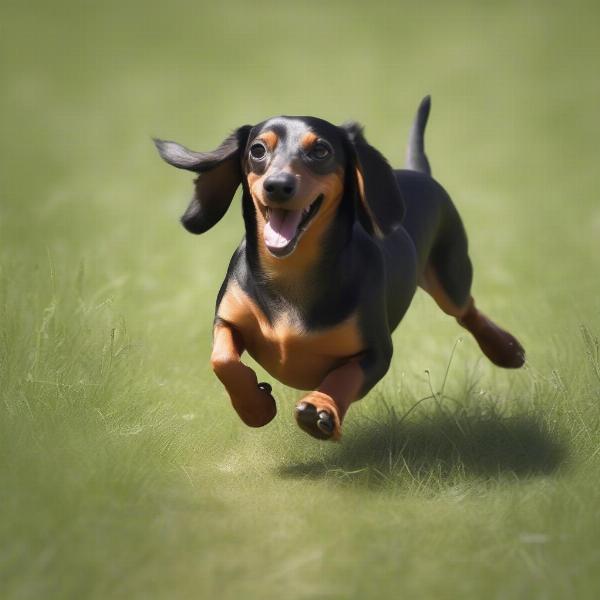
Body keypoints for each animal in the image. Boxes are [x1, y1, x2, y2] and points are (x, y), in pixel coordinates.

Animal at [155, 96, 524, 438]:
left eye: (320, 150)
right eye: (258, 150)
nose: (277, 186)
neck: (291, 273)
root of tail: (418, 172)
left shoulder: (377, 352)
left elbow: (344, 376)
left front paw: (320, 408)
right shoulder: (227, 319)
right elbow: (223, 360)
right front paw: (255, 407)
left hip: (450, 276)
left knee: (467, 310)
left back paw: (506, 349)